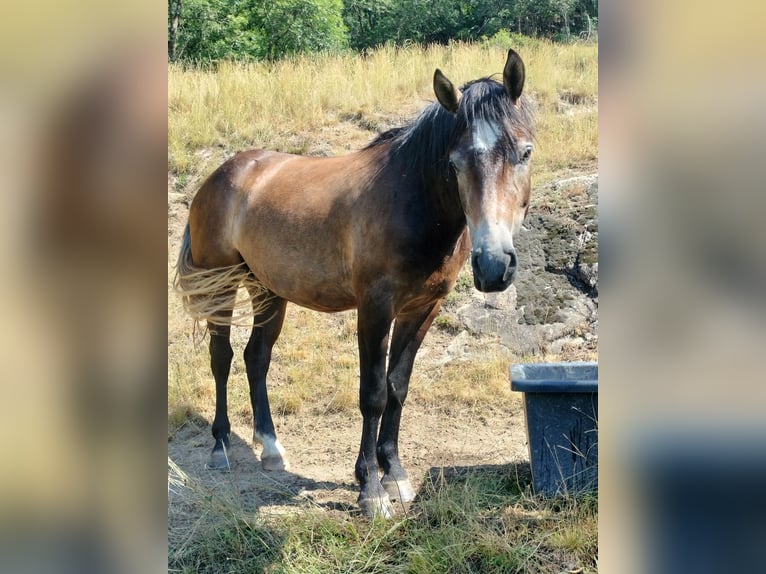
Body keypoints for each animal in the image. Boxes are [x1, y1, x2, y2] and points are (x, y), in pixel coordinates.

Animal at [174, 49, 535, 518]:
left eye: (524, 153)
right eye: (454, 162)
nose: (494, 265)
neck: (410, 202)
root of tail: (220, 174)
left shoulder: (423, 309)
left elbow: (398, 387)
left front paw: (394, 473)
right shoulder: (375, 309)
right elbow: (374, 393)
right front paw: (371, 490)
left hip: (268, 290)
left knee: (257, 357)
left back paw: (270, 448)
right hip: (221, 286)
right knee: (222, 357)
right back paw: (220, 447)